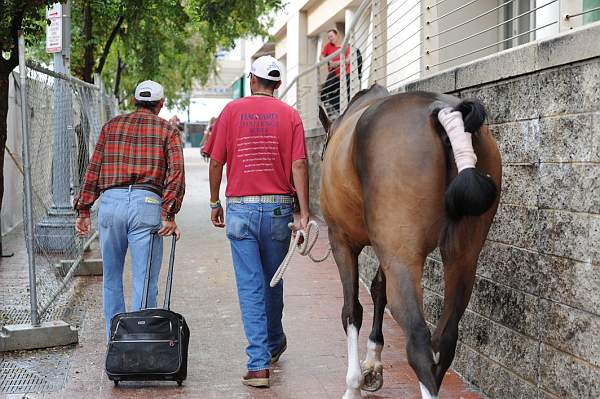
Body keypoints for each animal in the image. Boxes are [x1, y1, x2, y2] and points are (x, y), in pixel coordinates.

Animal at [318, 85, 502, 399]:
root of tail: (441, 110)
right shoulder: (383, 246)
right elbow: (378, 290)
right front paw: (373, 365)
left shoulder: (340, 240)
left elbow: (352, 310)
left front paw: (354, 383)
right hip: (463, 256)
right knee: (445, 339)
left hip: (402, 257)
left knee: (418, 342)